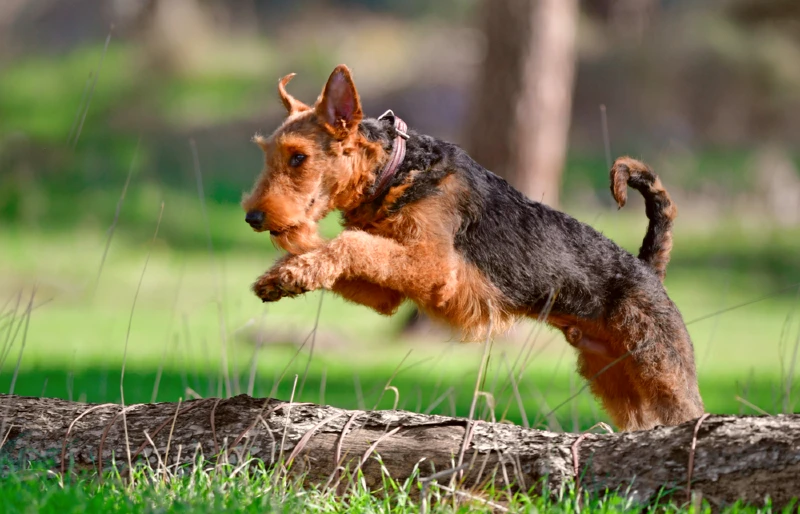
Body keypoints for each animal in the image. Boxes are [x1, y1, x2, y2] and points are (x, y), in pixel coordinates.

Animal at [241, 65, 704, 432]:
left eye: (298, 157)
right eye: (268, 154)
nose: (253, 218)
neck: (396, 170)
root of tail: (646, 268)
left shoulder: (434, 268)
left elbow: (351, 243)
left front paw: (290, 271)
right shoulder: (388, 292)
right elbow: (347, 252)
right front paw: (279, 278)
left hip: (660, 370)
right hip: (617, 378)